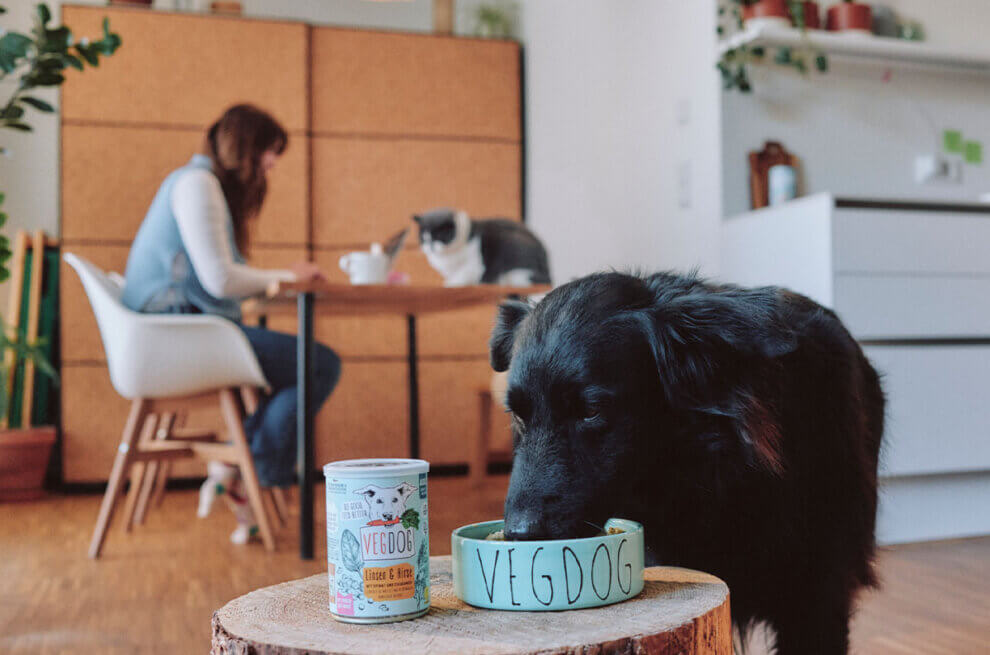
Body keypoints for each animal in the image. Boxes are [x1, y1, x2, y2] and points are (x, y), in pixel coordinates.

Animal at [410, 208, 552, 284]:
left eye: (439, 236)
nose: (430, 246)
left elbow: (463, 275)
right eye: (423, 237)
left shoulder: (475, 264)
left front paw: (451, 283)